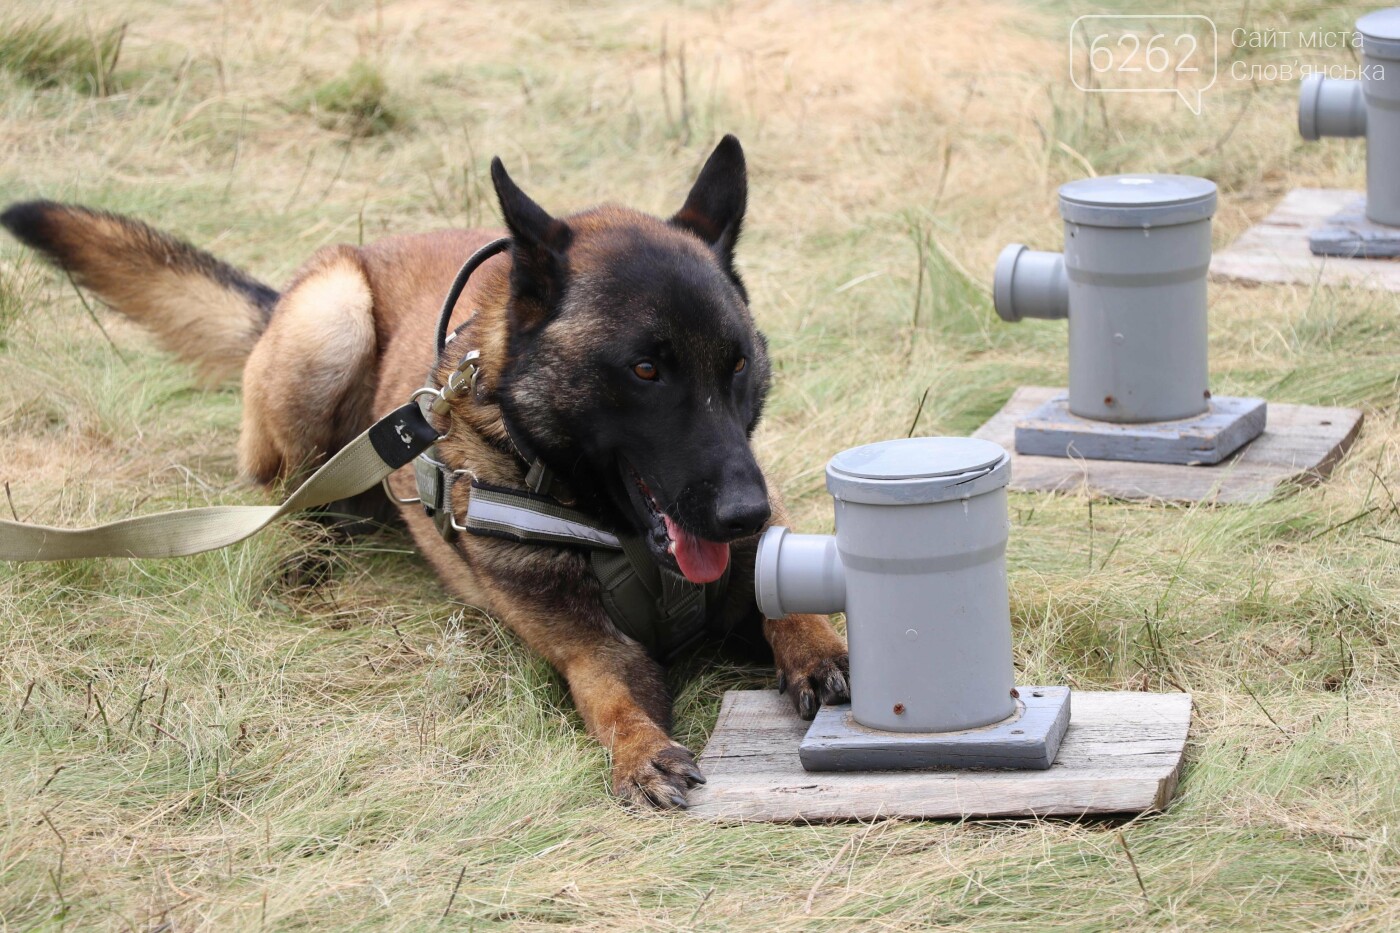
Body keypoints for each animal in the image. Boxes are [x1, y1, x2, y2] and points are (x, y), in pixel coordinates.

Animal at [2, 134, 851, 801]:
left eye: (736, 366)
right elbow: (612, 685)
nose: (745, 511)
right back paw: (307, 546)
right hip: (332, 320)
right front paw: (641, 749)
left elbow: (794, 611)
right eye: (645, 370)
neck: (613, 525)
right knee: (284, 486)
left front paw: (824, 654)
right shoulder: (585, 646)